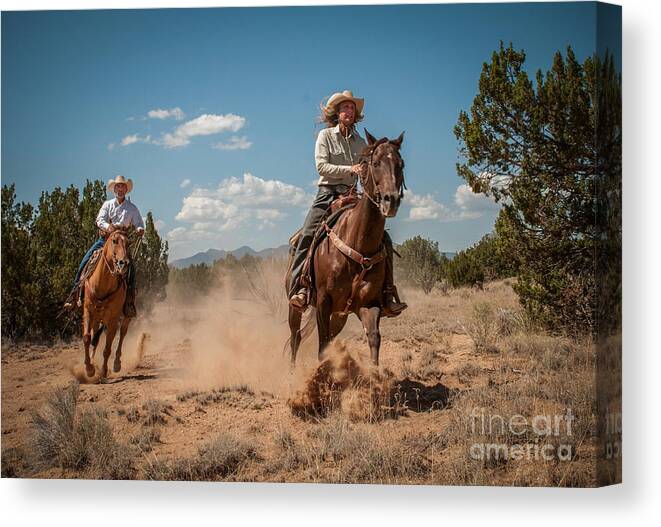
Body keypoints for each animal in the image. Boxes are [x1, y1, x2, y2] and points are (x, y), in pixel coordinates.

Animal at [82, 227, 133, 380]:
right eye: (114, 240)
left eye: (128, 243)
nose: (124, 263)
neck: (101, 285)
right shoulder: (88, 311)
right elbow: (87, 338)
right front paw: (89, 368)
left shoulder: (113, 319)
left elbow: (107, 348)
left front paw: (104, 371)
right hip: (97, 318)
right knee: (95, 338)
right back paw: (93, 361)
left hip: (125, 316)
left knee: (122, 333)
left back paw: (116, 363)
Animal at [286, 130, 404, 368]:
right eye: (375, 163)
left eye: (401, 164)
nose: (391, 200)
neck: (357, 242)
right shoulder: (323, 302)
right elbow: (322, 345)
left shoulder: (368, 304)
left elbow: (374, 338)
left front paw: (374, 374)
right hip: (295, 307)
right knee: (296, 337)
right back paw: (291, 371)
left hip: (340, 315)